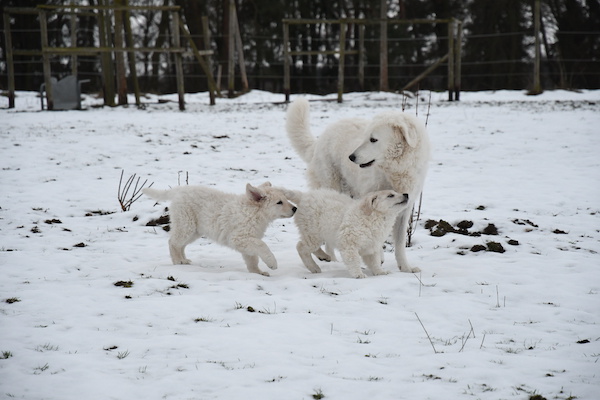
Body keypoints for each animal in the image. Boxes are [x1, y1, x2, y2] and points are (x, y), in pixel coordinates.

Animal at [144, 183, 298, 276]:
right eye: (279, 202)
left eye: (285, 199)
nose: (295, 208)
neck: (254, 212)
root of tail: (180, 190)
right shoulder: (240, 237)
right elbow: (263, 246)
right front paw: (272, 263)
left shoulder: (246, 240)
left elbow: (252, 258)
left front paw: (257, 273)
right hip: (186, 223)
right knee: (173, 242)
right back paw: (178, 261)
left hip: (194, 230)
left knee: (181, 244)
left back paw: (184, 260)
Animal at [280, 188, 408, 278]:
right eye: (390, 195)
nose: (406, 194)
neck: (375, 217)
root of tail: (303, 196)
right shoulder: (349, 243)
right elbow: (354, 260)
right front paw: (358, 274)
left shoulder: (372, 246)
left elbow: (375, 261)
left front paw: (380, 272)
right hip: (313, 232)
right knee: (301, 247)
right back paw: (313, 267)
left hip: (316, 233)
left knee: (309, 248)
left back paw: (324, 257)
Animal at [288, 97, 432, 272]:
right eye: (365, 138)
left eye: (373, 139)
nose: (351, 157)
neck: (396, 169)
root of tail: (320, 140)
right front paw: (378, 258)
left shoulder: (405, 208)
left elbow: (399, 244)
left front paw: (405, 268)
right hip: (331, 188)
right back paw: (332, 259)